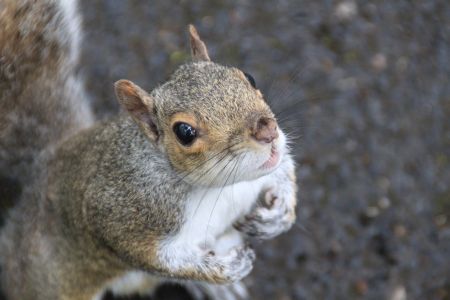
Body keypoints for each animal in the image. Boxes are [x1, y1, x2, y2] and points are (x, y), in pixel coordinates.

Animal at [0, 0, 298, 300]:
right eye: (184, 132)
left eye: (249, 77)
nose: (268, 132)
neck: (221, 186)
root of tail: (42, 166)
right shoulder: (120, 218)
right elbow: (164, 261)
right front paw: (224, 269)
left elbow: (284, 169)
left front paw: (280, 216)